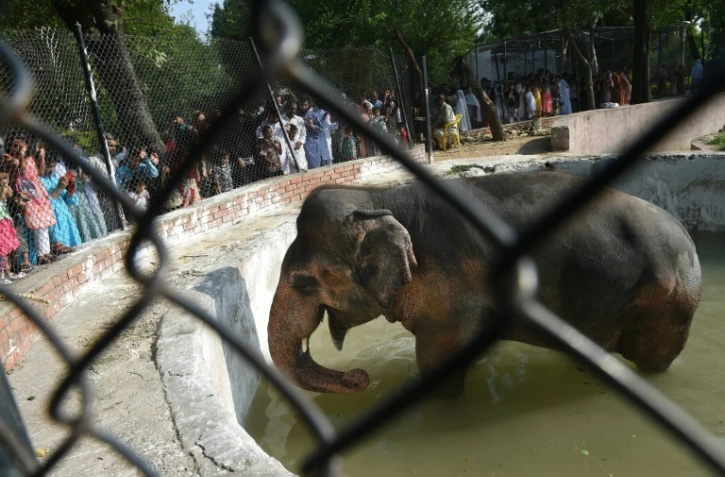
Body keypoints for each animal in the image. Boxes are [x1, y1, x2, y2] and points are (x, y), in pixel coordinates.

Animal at [268, 171, 702, 396]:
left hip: (668, 306)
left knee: (654, 359)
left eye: (302, 282)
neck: (379, 197)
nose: (359, 376)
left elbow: (436, 362)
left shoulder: (451, 295)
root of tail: (687, 237)